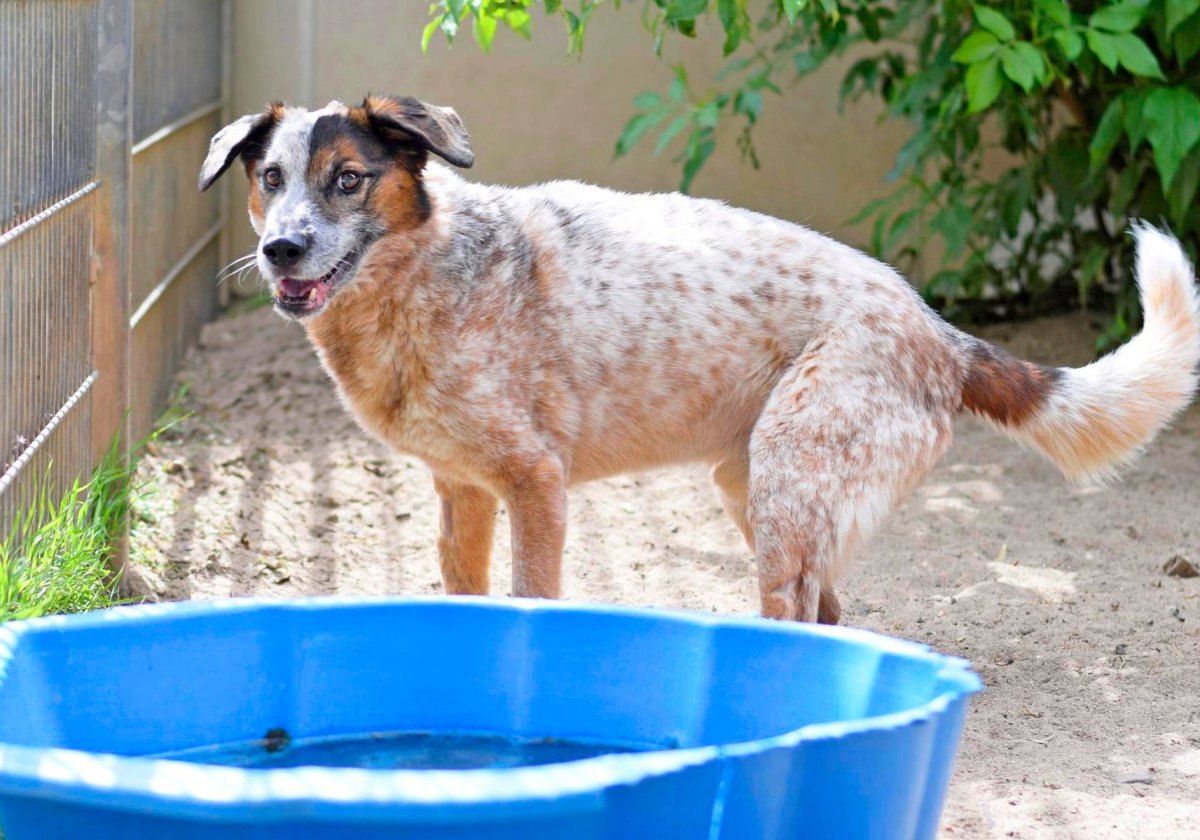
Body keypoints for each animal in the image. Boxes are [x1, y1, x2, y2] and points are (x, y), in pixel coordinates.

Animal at [199, 96, 1200, 624]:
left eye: (349, 179)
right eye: (270, 180)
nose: (282, 250)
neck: (426, 277)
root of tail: (936, 330)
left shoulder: (535, 484)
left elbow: (533, 601)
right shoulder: (463, 492)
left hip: (788, 483)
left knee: (801, 619)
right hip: (757, 491)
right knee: (832, 615)